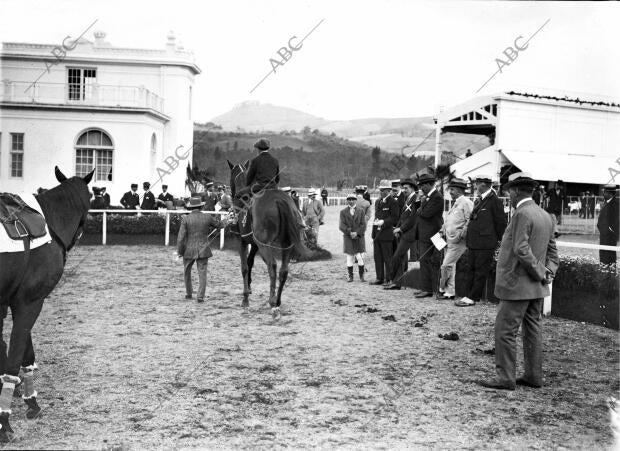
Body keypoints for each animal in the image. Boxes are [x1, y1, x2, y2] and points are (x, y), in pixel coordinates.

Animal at [0, 166, 93, 442]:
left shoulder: (14, 301)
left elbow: (22, 351)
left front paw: (30, 400)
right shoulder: (30, 301)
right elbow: (17, 355)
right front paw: (5, 420)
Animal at [226, 161, 306, 320]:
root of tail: (278, 200)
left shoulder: (242, 241)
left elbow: (244, 267)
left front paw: (245, 298)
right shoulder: (255, 244)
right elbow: (250, 262)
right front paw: (249, 287)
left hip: (265, 245)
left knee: (272, 266)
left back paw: (272, 302)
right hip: (286, 245)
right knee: (283, 271)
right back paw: (277, 301)